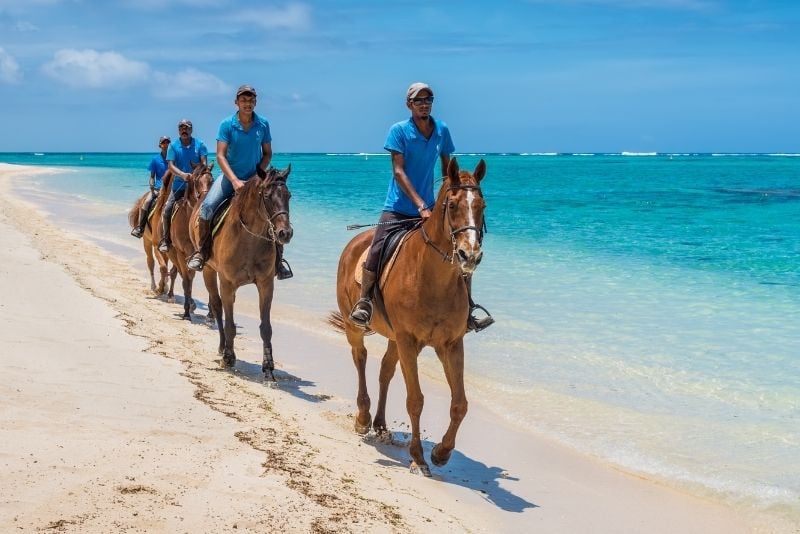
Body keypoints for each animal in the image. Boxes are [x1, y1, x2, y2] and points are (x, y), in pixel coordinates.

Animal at [166, 163, 216, 322]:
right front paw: (187, 312)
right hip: (175, 255)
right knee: (181, 276)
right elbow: (187, 281)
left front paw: (211, 315)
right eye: (196, 181)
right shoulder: (183, 254)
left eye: (211, 180)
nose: (205, 198)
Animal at [191, 168, 294, 382]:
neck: (249, 238)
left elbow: (266, 328)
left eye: (288, 195)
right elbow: (230, 323)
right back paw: (223, 348)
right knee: (217, 307)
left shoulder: (265, 284)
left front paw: (268, 368)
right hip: (209, 271)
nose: (285, 233)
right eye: (266, 196)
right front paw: (229, 358)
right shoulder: (227, 284)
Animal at [330, 158, 488, 478]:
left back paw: (380, 425)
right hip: (357, 327)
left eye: (482, 206)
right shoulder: (409, 341)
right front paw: (418, 458)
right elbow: (415, 400)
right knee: (360, 358)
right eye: (453, 205)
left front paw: (441, 453)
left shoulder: (450, 344)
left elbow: (460, 404)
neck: (432, 278)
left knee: (385, 371)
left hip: (394, 338)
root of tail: (356, 240)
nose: (470, 256)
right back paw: (363, 418)